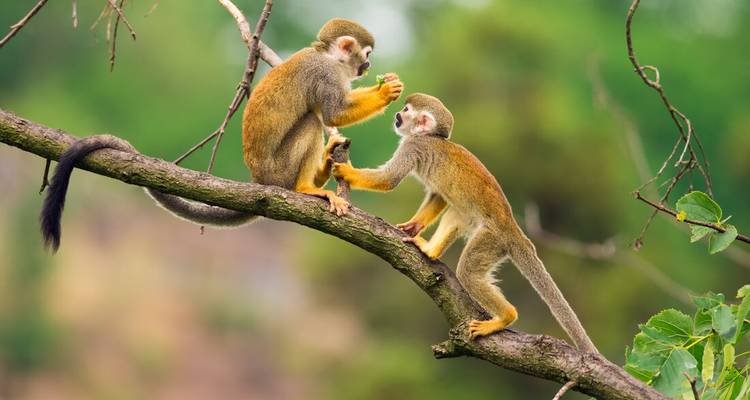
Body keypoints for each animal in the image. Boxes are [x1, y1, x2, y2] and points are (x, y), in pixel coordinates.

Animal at [40, 18, 404, 251]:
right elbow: (332, 113)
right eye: (366, 55)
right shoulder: (325, 74)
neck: (328, 57)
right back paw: (306, 188)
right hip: (279, 170)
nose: (368, 67)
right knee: (312, 121)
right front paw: (386, 92)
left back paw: (325, 166)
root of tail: (260, 181)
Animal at [330, 93, 598, 353]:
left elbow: (389, 180)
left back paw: (505, 317)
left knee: (468, 271)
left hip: (492, 239)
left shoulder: (413, 146)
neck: (429, 137)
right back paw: (431, 250)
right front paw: (414, 226)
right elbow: (438, 195)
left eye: (406, 111)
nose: (397, 115)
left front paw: (346, 172)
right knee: (456, 213)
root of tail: (514, 230)